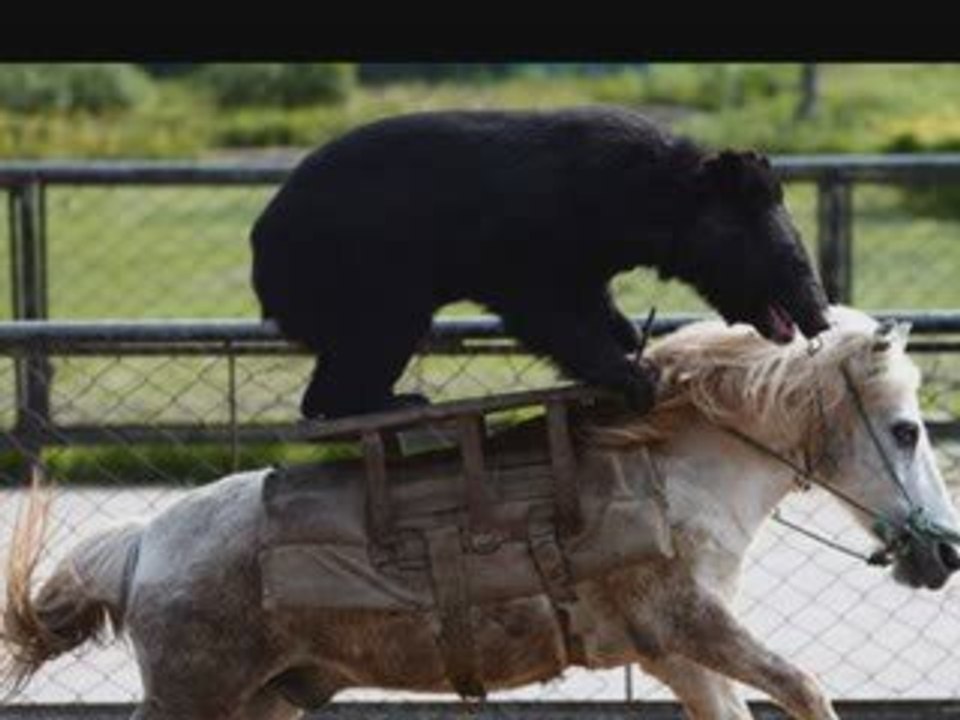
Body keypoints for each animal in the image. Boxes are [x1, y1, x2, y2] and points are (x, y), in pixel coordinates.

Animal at [3, 305, 959, 720]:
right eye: (907, 429)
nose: (945, 552)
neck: (670, 479)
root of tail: (142, 543)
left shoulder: (678, 656)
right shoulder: (694, 626)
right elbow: (804, 687)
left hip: (265, 704)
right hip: (193, 700)